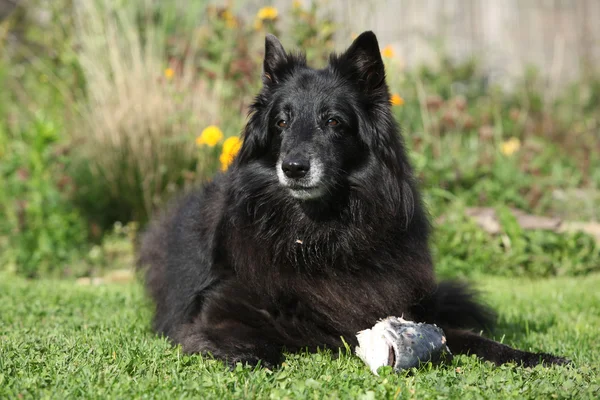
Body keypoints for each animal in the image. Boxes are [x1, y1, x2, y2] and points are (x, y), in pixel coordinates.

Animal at [139, 31, 568, 368]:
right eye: (281, 122)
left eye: (333, 121)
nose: (293, 168)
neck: (317, 234)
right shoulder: (216, 312)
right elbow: (246, 342)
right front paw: (245, 354)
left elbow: (473, 339)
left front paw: (534, 356)